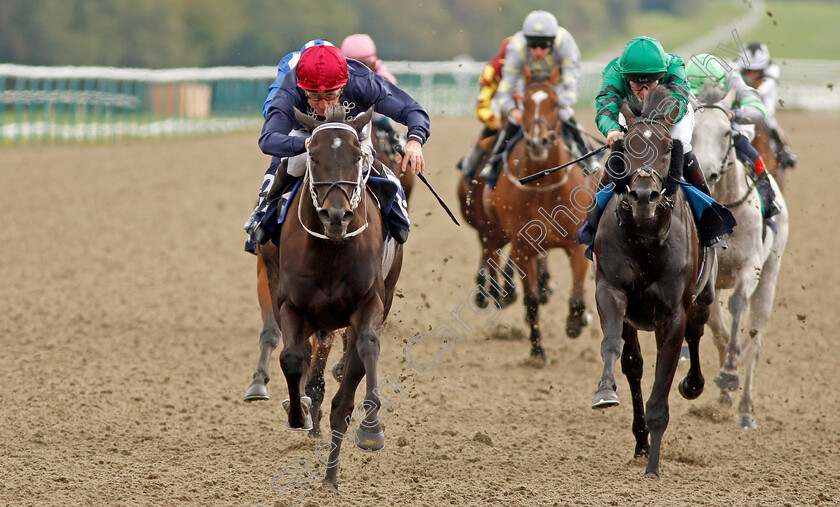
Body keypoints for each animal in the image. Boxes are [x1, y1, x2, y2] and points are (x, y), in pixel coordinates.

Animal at [260, 105, 404, 490]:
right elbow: (293, 359)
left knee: (347, 387)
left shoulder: (370, 303)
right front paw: (298, 413)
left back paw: (331, 474)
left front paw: (371, 428)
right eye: (313, 155)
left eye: (356, 157)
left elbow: (366, 350)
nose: (336, 215)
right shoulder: (290, 305)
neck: (331, 249)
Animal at [482, 66, 592, 366]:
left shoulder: (576, 244)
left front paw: (575, 322)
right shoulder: (523, 247)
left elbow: (577, 292)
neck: (544, 184)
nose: (538, 141)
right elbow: (531, 301)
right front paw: (537, 351)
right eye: (525, 104)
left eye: (554, 103)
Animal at [592, 87, 716, 480]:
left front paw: (654, 469)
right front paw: (604, 392)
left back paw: (693, 384)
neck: (647, 237)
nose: (644, 196)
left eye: (664, 149)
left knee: (696, 333)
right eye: (626, 148)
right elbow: (614, 347)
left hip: (703, 298)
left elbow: (663, 386)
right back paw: (640, 440)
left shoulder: (672, 314)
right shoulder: (610, 292)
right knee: (633, 364)